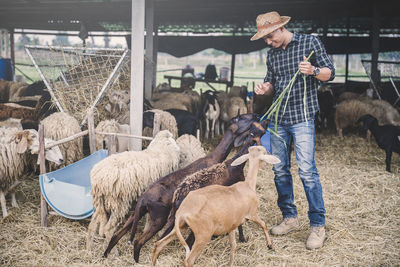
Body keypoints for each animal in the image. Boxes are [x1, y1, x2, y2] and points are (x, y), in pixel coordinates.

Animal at [104, 113, 260, 262]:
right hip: (158, 219)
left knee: (116, 235)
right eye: (240, 118)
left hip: (137, 214)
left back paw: (105, 256)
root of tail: (144, 198)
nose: (256, 116)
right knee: (138, 242)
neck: (214, 159)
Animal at [152, 147, 280, 267]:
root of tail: (182, 211)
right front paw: (270, 245)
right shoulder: (252, 214)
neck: (248, 185)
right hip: (203, 236)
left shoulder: (232, 225)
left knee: (159, 244)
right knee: (188, 261)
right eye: (263, 151)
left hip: (180, 226)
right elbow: (264, 224)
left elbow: (233, 246)